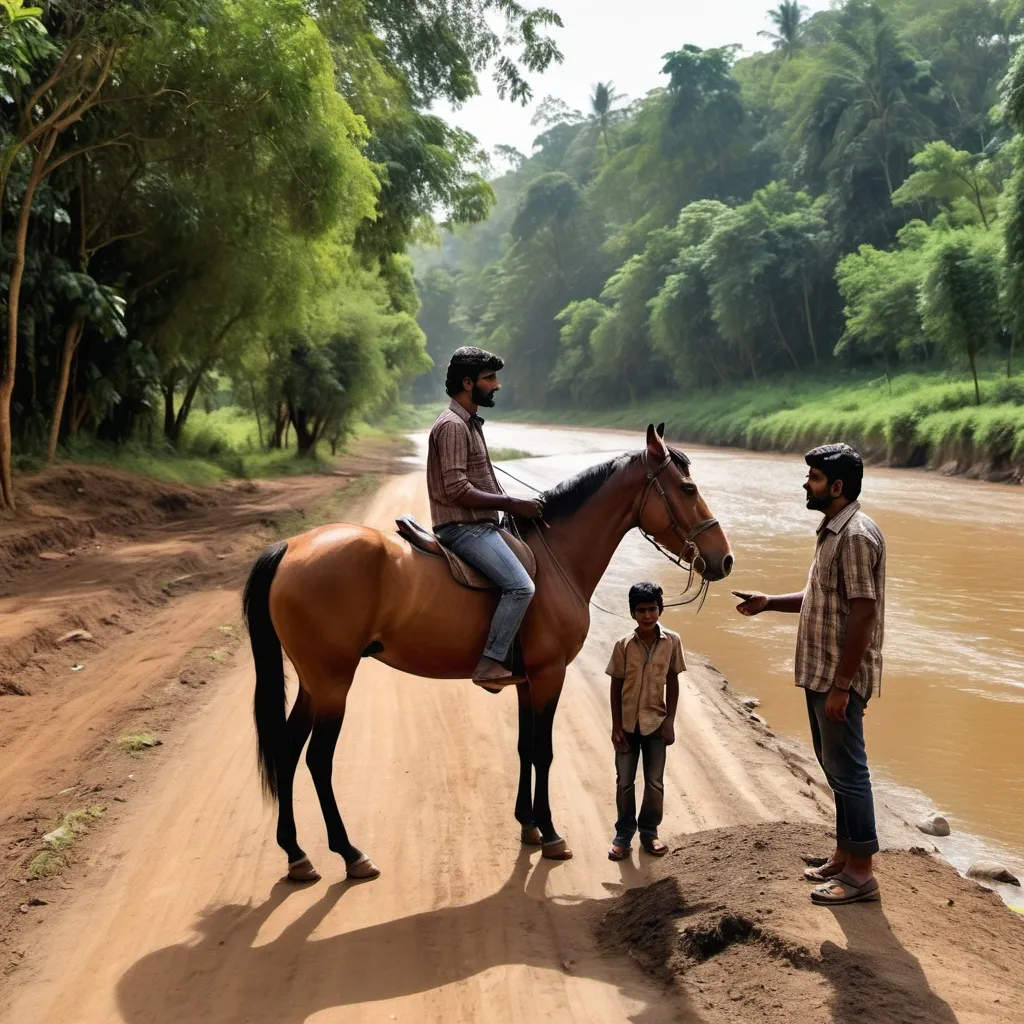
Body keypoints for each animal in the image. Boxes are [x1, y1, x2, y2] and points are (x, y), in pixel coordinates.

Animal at [243, 423, 733, 880]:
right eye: (687, 489)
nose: (724, 559)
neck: (557, 557)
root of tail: (291, 548)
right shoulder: (550, 674)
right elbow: (543, 751)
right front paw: (551, 833)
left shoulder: (526, 681)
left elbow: (524, 747)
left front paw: (528, 825)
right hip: (333, 683)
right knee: (317, 760)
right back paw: (349, 852)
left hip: (313, 683)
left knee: (287, 752)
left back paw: (296, 854)